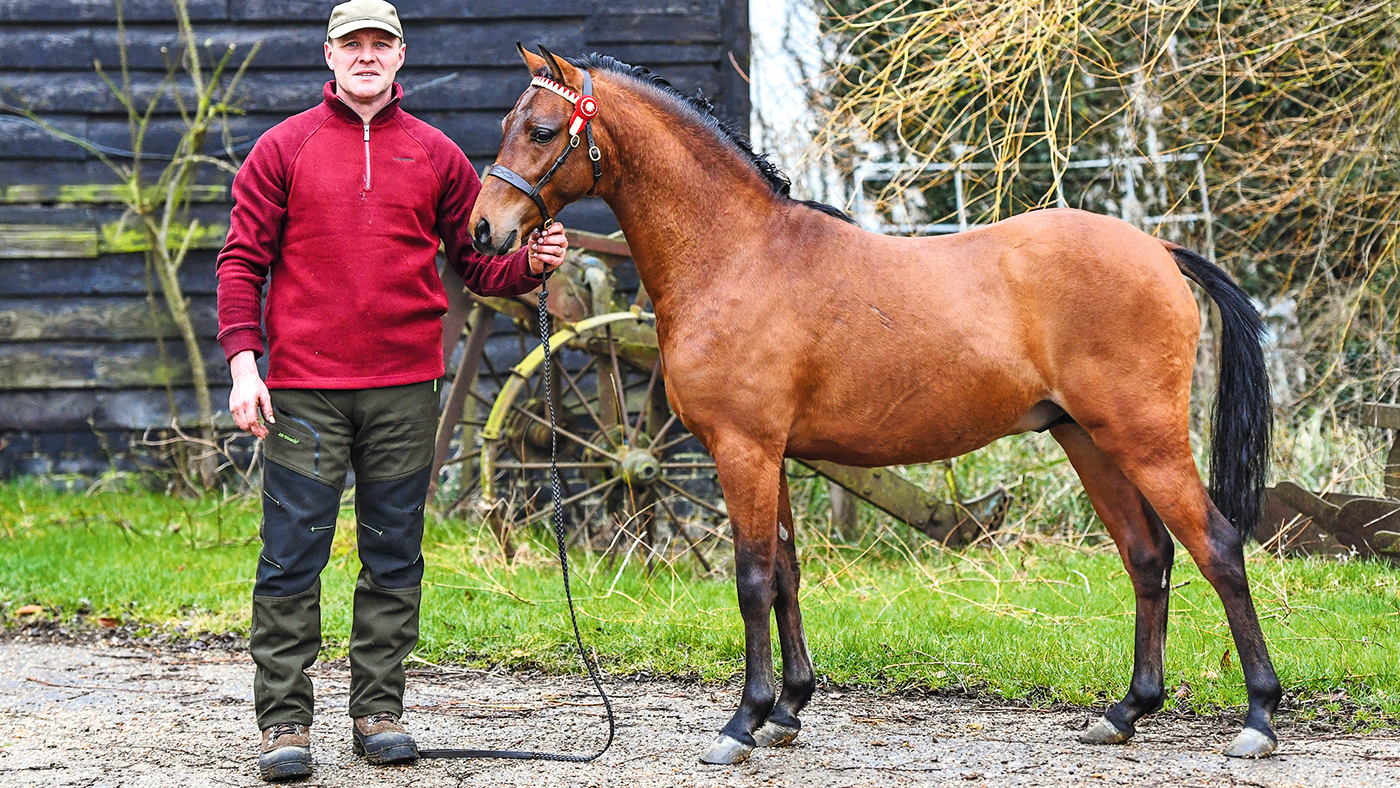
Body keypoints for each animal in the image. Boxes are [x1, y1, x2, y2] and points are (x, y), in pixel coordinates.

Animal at [469, 45, 1282, 764]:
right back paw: (1127, 712)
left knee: (1217, 547)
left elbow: (752, 579)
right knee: (1148, 556)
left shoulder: (743, 449)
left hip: (1143, 437)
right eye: (508, 120)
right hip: (1087, 438)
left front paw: (743, 722)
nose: (484, 228)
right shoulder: (773, 454)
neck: (738, 253)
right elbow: (786, 573)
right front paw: (787, 709)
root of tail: (1160, 252)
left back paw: (1259, 719)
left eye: (541, 130)